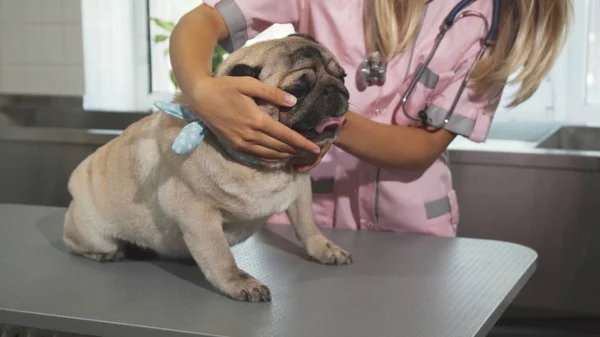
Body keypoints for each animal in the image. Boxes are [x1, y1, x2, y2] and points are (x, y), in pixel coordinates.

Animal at [61, 34, 352, 302]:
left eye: (343, 77)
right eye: (297, 92)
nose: (334, 89)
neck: (261, 166)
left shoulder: (300, 191)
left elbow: (307, 225)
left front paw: (324, 248)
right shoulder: (198, 214)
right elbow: (219, 255)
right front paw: (240, 282)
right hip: (93, 233)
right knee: (78, 243)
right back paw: (105, 253)